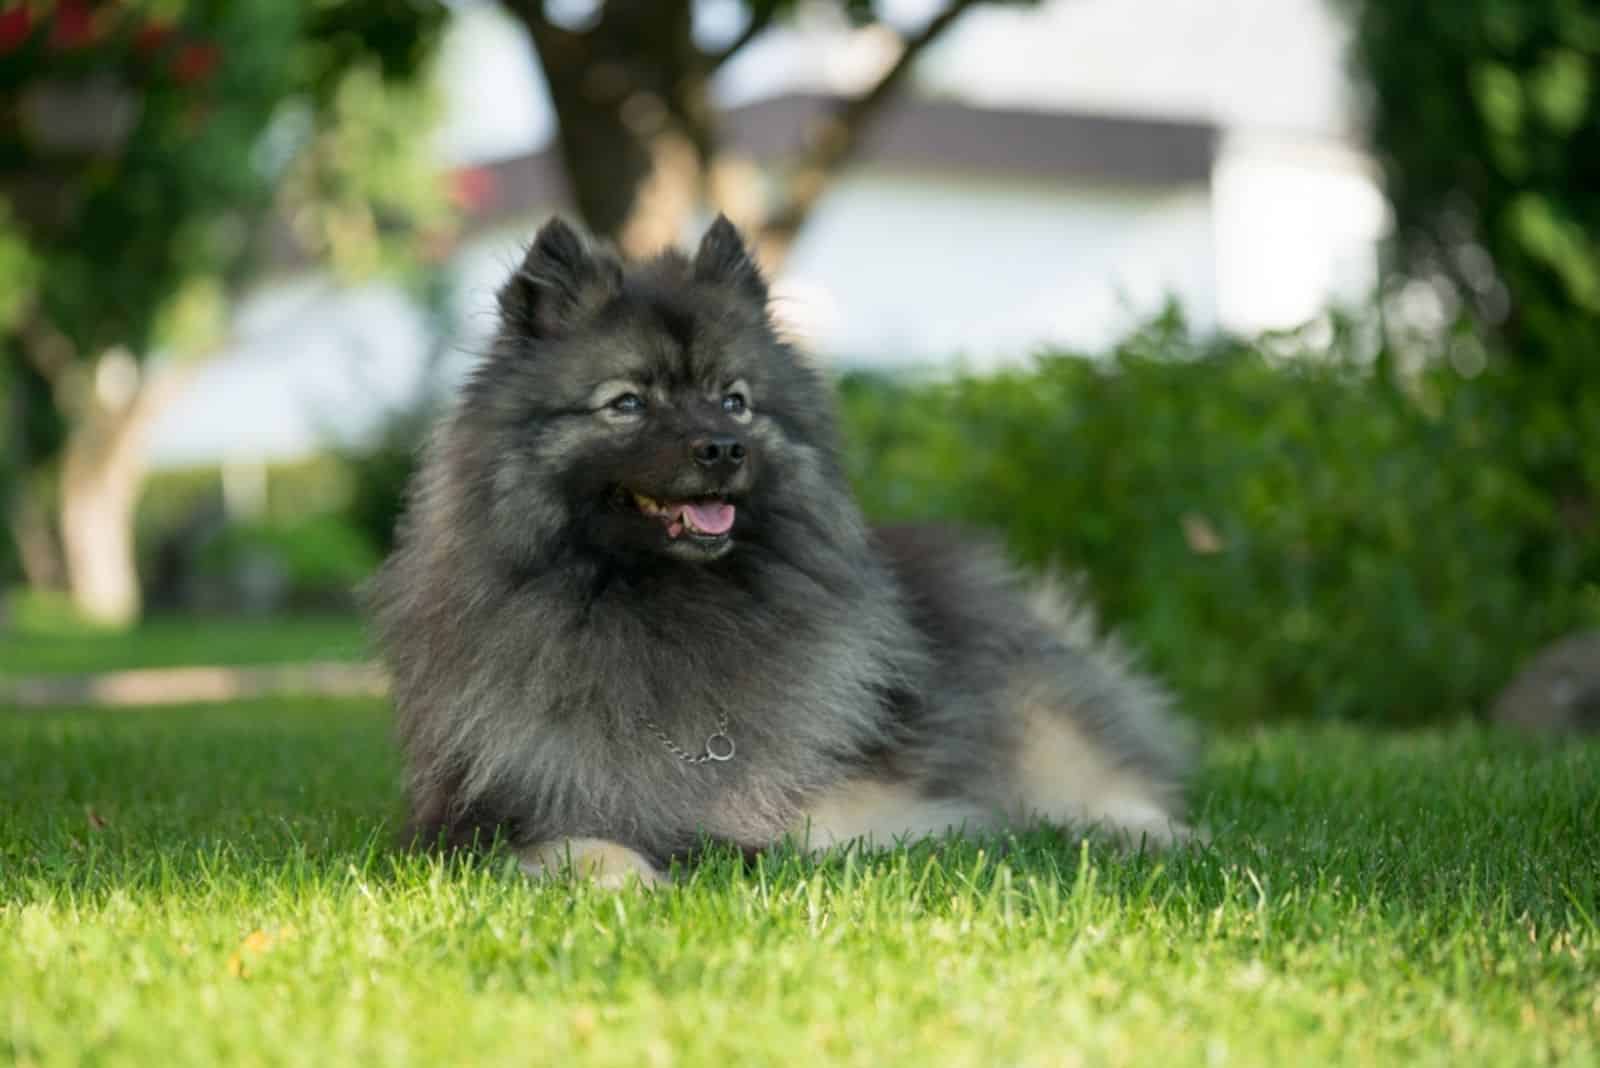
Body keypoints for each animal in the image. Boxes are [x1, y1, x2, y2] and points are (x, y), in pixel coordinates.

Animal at [368, 217, 1196, 882]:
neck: (665, 613)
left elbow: (802, 825)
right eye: (627, 403)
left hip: (1031, 721)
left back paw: (1152, 835)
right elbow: (576, 844)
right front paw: (630, 878)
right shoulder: (471, 820)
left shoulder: (858, 791)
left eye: (734, 400)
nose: (723, 447)